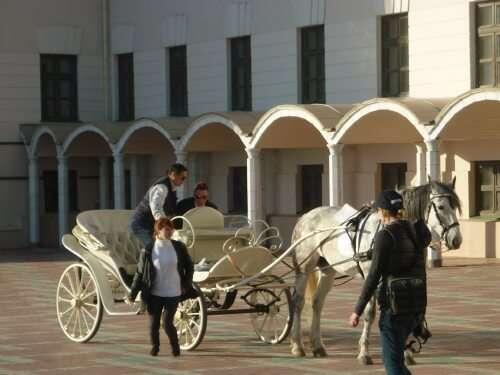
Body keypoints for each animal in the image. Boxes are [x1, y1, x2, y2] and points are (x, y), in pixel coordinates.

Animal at [290, 179, 464, 364]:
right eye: (441, 207)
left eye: (455, 207)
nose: (457, 239)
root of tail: (305, 216)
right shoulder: (371, 275)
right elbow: (370, 313)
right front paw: (364, 353)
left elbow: (406, 308)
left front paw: (406, 353)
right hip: (304, 268)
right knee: (298, 302)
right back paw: (297, 345)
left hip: (327, 270)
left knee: (317, 303)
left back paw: (318, 346)